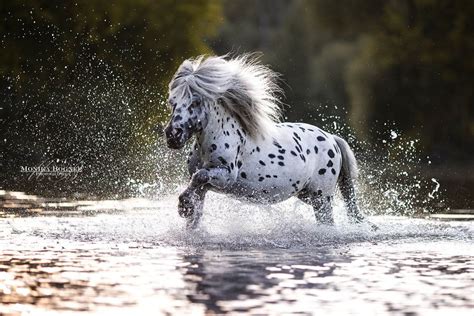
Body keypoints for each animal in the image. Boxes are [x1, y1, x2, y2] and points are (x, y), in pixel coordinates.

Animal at [163, 54, 374, 230]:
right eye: (172, 101)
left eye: (196, 101)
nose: (172, 135)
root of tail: (332, 139)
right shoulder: (209, 184)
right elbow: (197, 198)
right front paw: (188, 212)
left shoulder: (225, 176)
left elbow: (199, 177)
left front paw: (183, 206)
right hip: (308, 195)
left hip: (321, 198)